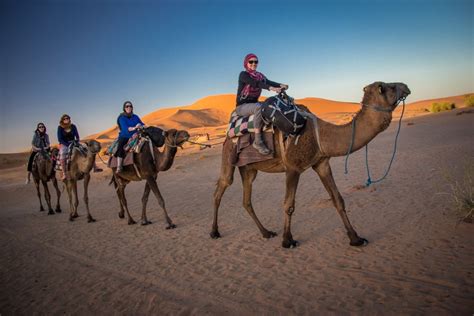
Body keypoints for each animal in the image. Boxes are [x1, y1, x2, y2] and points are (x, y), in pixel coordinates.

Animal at [211, 82, 412, 249]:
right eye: (387, 87)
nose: (406, 86)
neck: (319, 135)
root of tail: (228, 134)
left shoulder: (321, 163)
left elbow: (338, 200)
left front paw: (356, 238)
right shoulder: (293, 168)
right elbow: (289, 205)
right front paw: (288, 241)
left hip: (249, 169)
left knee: (246, 200)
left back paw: (266, 232)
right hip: (228, 157)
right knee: (222, 187)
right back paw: (214, 231)